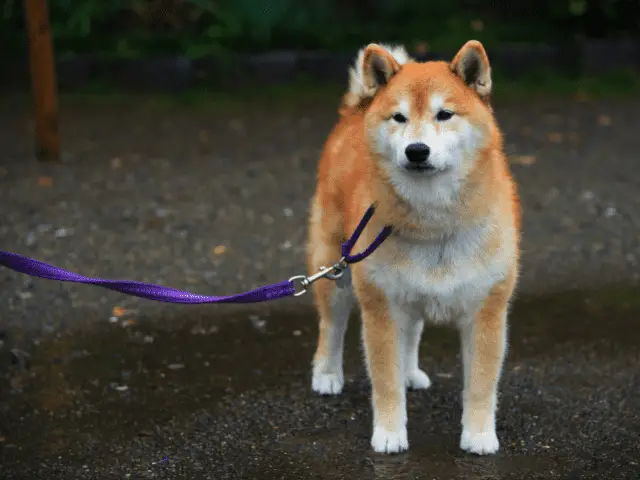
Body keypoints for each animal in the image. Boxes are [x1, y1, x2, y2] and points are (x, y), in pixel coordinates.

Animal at [304, 40, 520, 454]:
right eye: (399, 118)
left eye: (444, 114)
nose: (417, 151)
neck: (433, 224)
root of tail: (356, 109)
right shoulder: (380, 307)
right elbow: (384, 382)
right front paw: (389, 434)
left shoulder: (486, 311)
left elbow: (481, 385)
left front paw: (479, 435)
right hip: (336, 268)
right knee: (331, 326)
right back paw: (326, 374)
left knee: (412, 332)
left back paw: (410, 372)